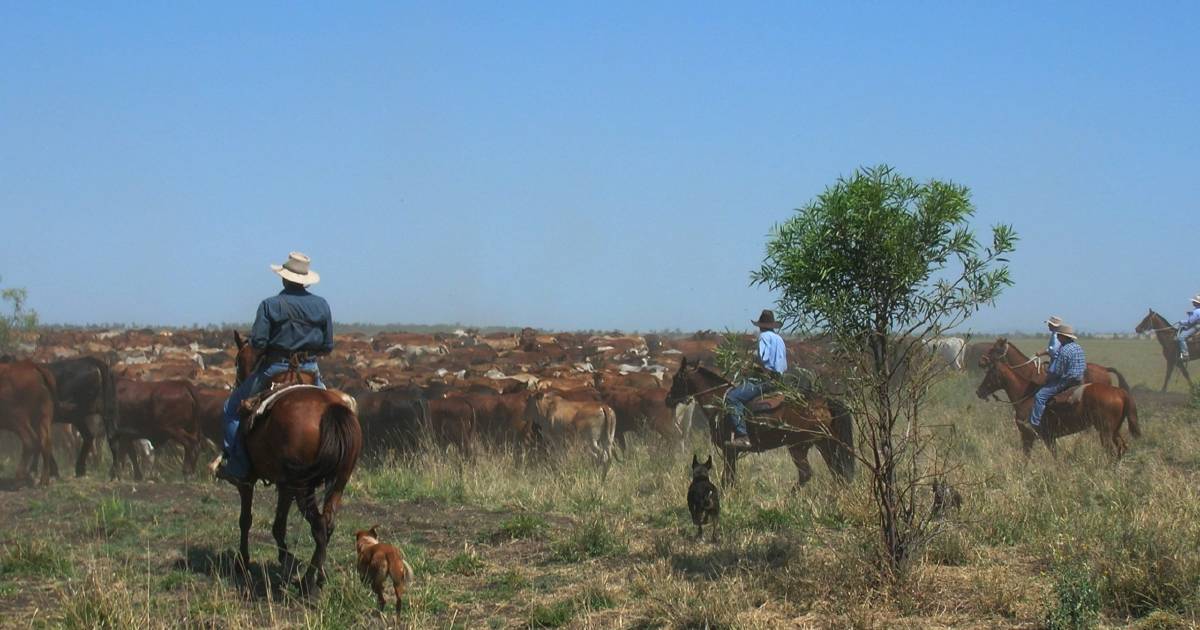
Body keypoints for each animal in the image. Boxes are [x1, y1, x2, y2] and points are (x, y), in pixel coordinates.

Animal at [657, 352, 854, 487]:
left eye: (676, 378)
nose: (668, 399)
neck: (719, 401)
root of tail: (824, 401)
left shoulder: (729, 451)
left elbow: (727, 480)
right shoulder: (732, 454)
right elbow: (730, 479)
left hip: (799, 446)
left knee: (808, 474)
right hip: (825, 444)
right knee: (837, 472)